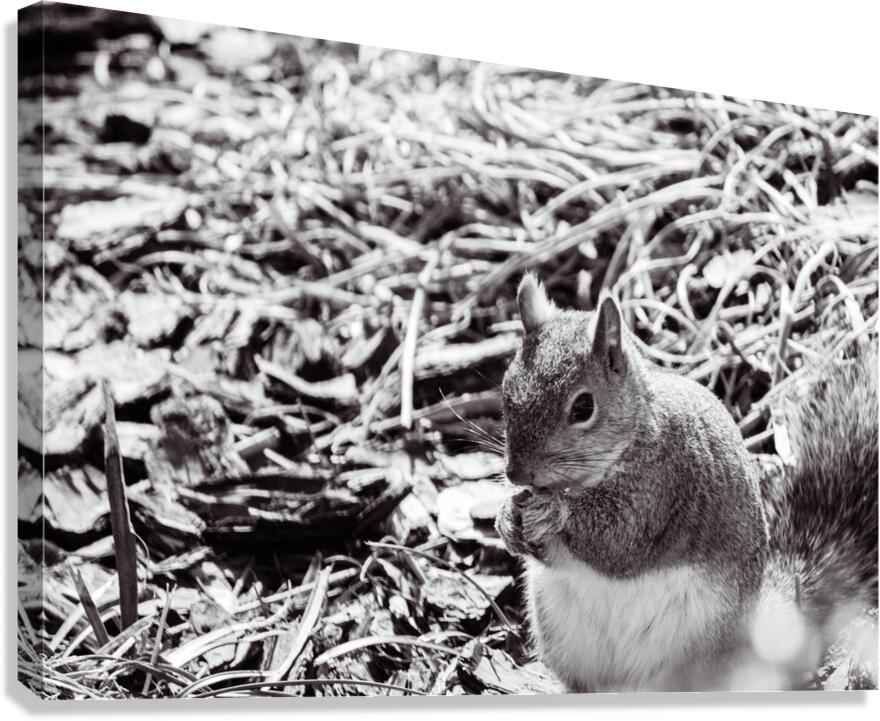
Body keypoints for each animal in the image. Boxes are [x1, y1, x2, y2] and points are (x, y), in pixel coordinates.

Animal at [495, 273, 878, 692]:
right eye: (506, 391)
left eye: (583, 407)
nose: (517, 474)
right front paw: (507, 519)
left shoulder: (665, 485)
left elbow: (618, 542)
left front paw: (554, 511)